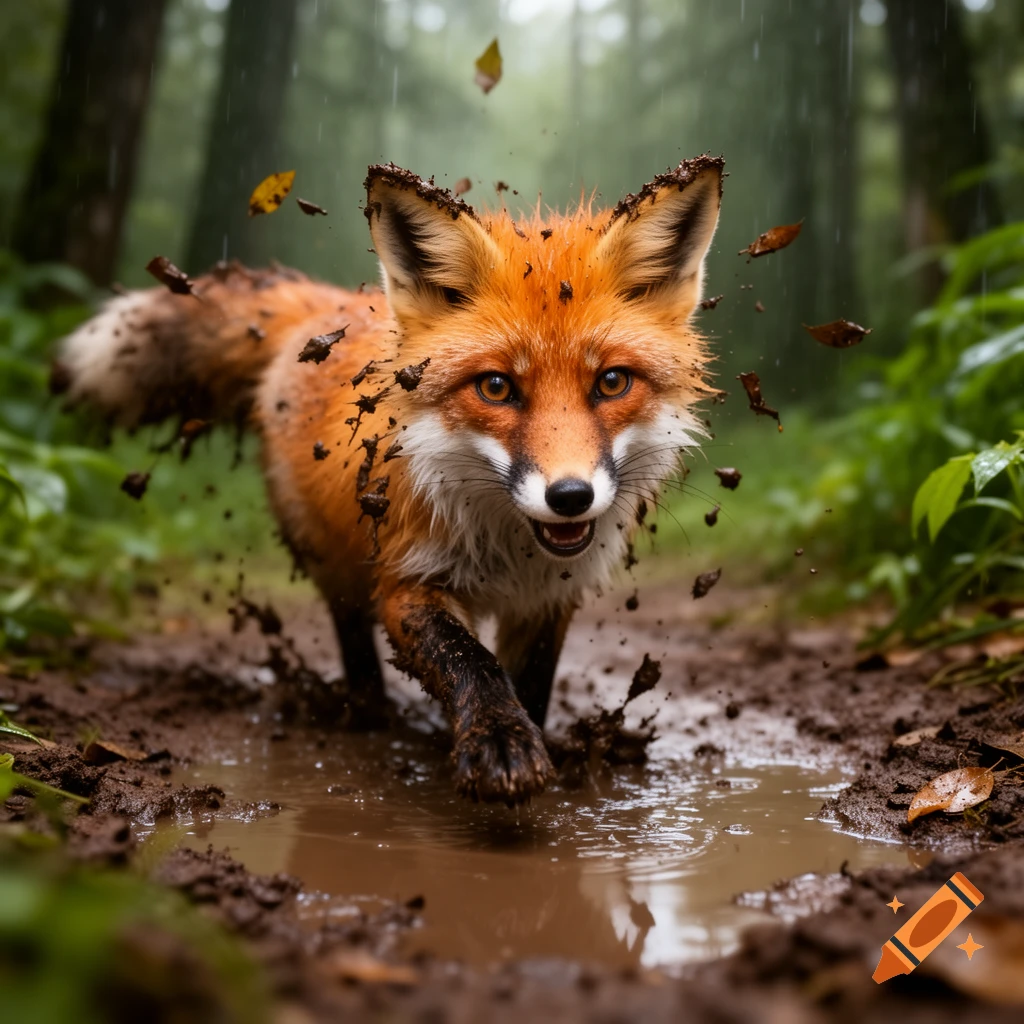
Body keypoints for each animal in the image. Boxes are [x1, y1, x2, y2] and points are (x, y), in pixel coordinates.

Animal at [55, 156, 724, 807]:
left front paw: (530, 737)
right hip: (328, 557)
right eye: (496, 387)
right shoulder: (405, 578)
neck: (509, 548)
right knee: (351, 632)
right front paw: (498, 741)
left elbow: (530, 683)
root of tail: (323, 310)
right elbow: (469, 661)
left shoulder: (550, 598)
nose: (569, 498)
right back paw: (368, 710)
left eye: (612, 382)